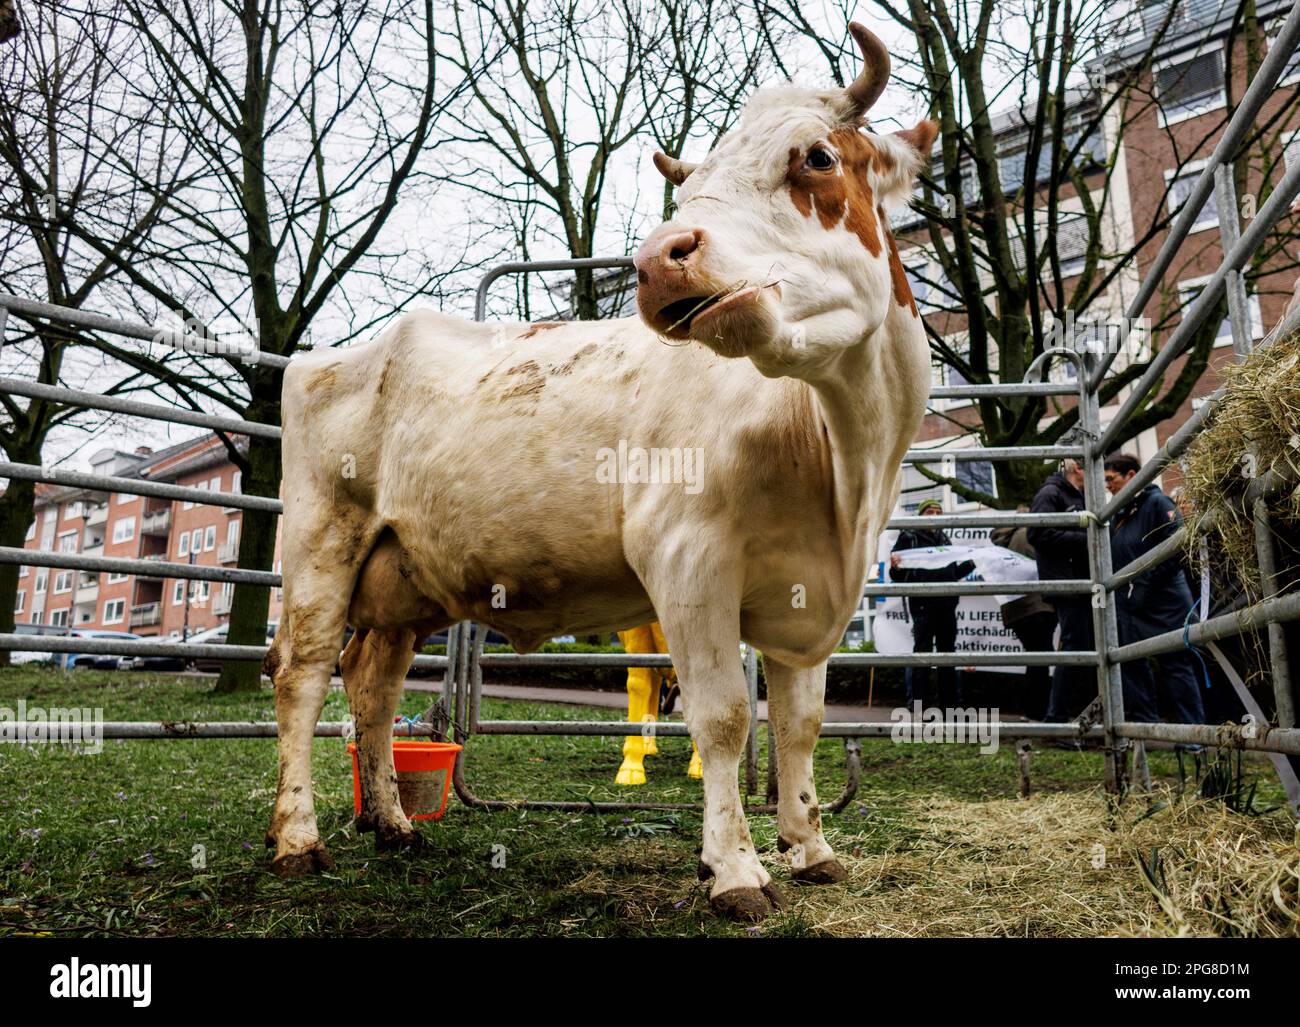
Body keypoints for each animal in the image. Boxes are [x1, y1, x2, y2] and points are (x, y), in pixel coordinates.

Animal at [263, 24, 935, 925]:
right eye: (693, 189)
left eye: (818, 156)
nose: (658, 260)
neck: (840, 461)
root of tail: (333, 352)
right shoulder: (687, 559)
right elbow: (725, 718)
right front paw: (735, 869)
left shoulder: (813, 591)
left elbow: (800, 724)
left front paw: (811, 847)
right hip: (319, 541)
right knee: (302, 675)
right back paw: (299, 838)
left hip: (403, 574)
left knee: (373, 683)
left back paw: (396, 824)